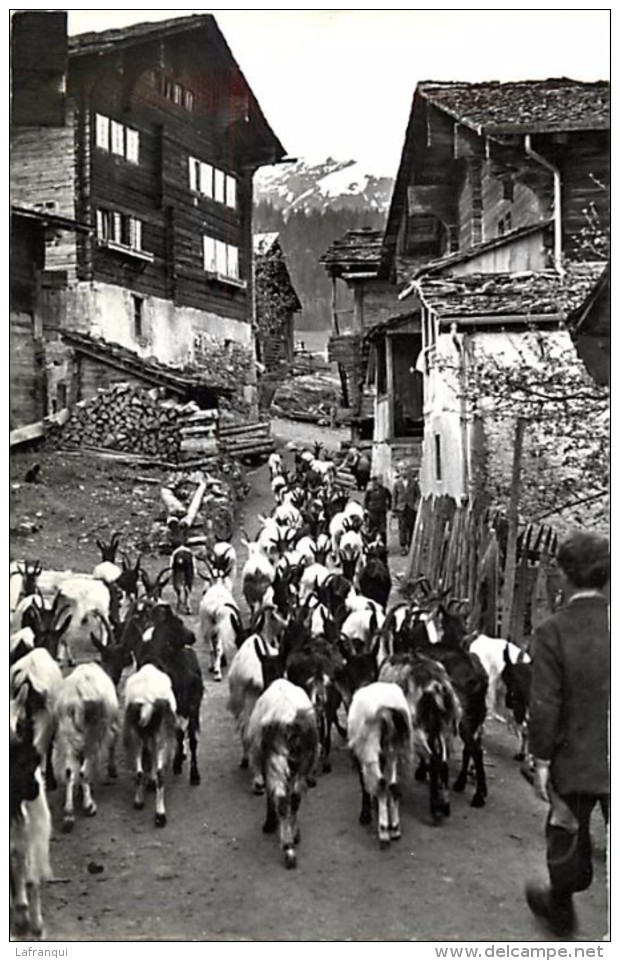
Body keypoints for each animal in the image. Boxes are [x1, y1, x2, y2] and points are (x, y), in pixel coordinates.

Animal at [54, 664, 121, 828]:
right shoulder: (110, 727)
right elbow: (112, 743)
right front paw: (112, 770)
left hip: (67, 733)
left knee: (69, 771)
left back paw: (69, 814)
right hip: (93, 733)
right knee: (84, 769)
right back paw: (89, 805)